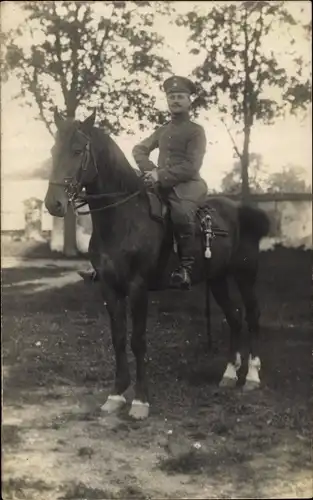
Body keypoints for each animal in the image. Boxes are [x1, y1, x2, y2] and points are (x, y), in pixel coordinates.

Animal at [44, 109, 270, 418]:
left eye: (78, 151)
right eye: (53, 150)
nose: (53, 204)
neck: (124, 218)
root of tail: (242, 210)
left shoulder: (138, 288)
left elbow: (138, 341)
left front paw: (140, 401)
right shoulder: (110, 288)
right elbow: (118, 338)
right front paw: (116, 395)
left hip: (245, 274)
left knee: (252, 316)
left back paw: (253, 377)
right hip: (217, 278)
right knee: (234, 317)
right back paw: (228, 375)